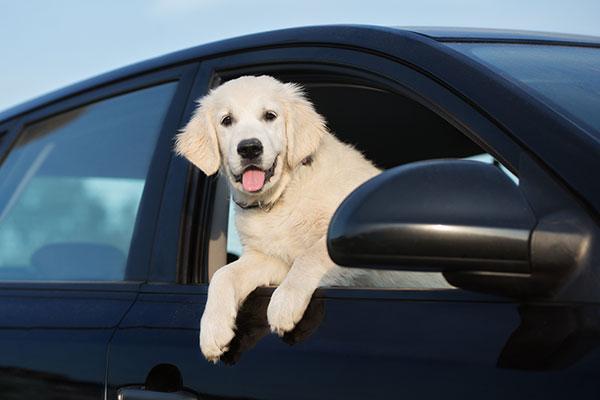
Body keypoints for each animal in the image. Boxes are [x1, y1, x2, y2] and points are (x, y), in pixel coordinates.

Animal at [176, 75, 448, 362]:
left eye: (270, 115)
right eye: (226, 120)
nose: (249, 148)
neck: (283, 193)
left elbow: (310, 255)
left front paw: (284, 303)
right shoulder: (269, 258)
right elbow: (223, 274)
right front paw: (213, 330)